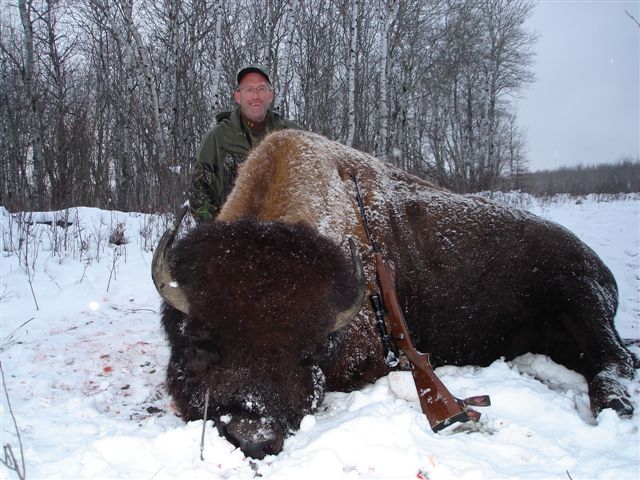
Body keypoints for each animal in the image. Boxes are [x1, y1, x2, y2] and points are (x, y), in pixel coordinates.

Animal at [152, 130, 637, 459]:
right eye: (200, 342)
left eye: (309, 353)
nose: (251, 435)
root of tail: (599, 265)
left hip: (581, 301)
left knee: (615, 360)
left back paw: (615, 406)